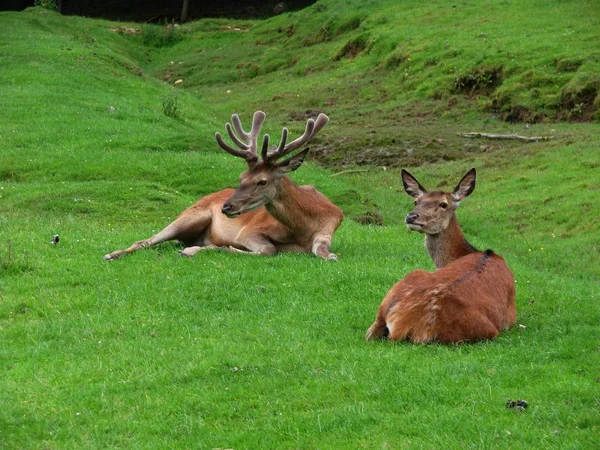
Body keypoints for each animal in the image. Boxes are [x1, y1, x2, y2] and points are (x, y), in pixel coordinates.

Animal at [104, 110, 342, 262]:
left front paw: (331, 256)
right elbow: (268, 249)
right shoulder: (248, 231)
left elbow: (323, 252)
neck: (303, 228)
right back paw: (112, 254)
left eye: (262, 181)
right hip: (190, 215)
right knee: (145, 240)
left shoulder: (328, 229)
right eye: (241, 176)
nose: (226, 207)